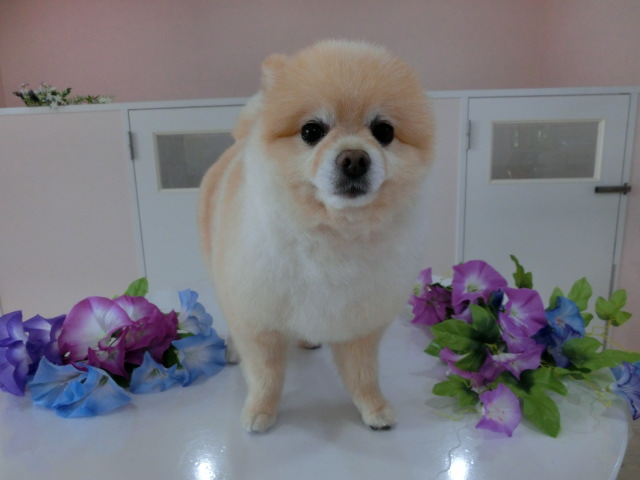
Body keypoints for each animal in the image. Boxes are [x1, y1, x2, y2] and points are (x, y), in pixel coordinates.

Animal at [198, 40, 434, 433]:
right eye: (311, 131)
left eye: (384, 132)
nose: (354, 159)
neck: (331, 232)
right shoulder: (257, 316)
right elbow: (266, 373)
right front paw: (261, 410)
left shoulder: (360, 322)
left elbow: (363, 374)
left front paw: (374, 407)